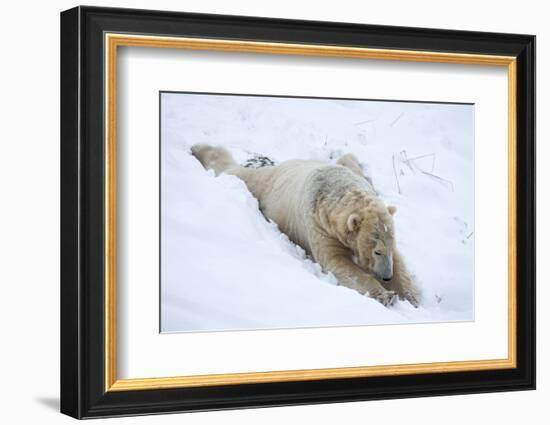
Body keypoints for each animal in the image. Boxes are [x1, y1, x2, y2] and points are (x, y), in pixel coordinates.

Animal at [191, 144, 422, 306]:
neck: (334, 190)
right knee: (238, 173)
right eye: (377, 251)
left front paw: (411, 295)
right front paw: (385, 295)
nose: (386, 276)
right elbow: (337, 262)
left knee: (349, 160)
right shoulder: (318, 224)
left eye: (389, 247)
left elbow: (400, 262)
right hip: (263, 188)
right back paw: (201, 149)